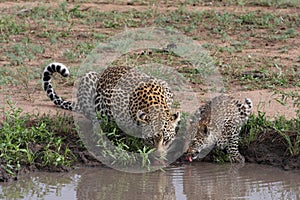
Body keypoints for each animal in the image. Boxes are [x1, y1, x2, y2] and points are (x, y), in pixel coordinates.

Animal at [42, 62, 180, 159]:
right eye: (151, 140)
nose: (159, 157)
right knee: (93, 116)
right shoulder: (110, 97)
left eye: (166, 140)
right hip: (88, 77)